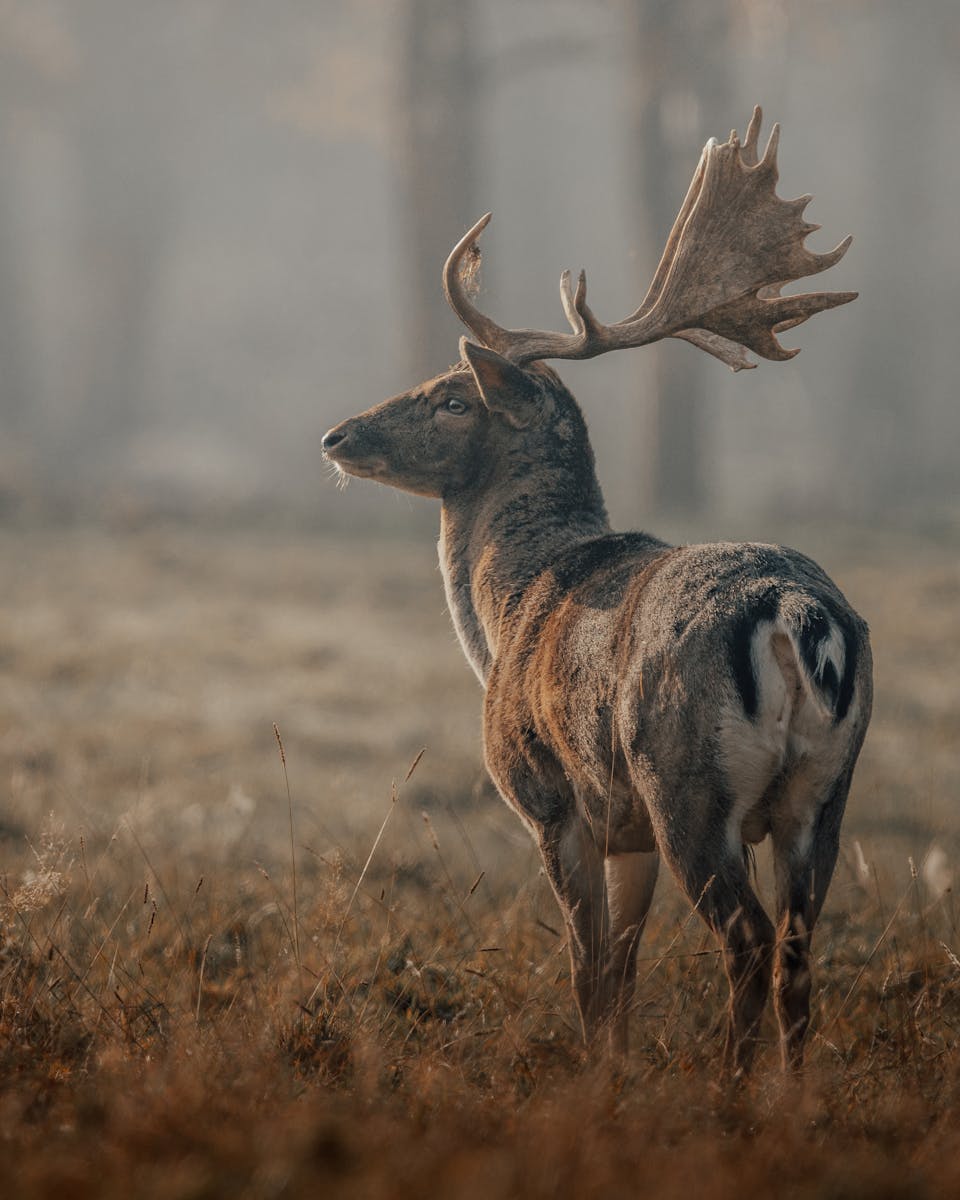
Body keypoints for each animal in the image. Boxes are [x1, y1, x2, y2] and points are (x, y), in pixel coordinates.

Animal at [321, 109, 872, 1076]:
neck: (509, 611)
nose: (338, 435)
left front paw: (593, 1081)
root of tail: (799, 616)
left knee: (747, 940)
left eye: (453, 399)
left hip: (687, 781)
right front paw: (613, 1070)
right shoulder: (628, 831)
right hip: (823, 793)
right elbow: (621, 968)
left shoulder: (553, 798)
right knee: (800, 953)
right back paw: (791, 1096)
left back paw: (731, 1092)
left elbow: (586, 970)